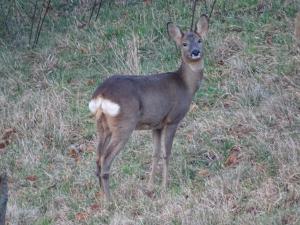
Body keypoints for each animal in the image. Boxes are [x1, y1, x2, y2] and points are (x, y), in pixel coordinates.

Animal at [89, 14, 209, 200]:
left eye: (199, 40)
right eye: (184, 44)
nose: (195, 52)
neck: (186, 85)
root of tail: (101, 95)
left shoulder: (156, 125)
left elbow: (155, 153)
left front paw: (150, 187)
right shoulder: (172, 119)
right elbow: (166, 153)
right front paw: (165, 186)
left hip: (102, 125)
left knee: (97, 157)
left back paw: (102, 195)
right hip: (124, 124)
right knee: (105, 159)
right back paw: (110, 200)